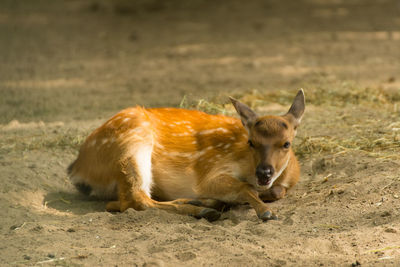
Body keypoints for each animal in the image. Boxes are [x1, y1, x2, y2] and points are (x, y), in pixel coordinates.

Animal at [67, 90, 304, 222]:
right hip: (131, 145)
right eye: (251, 142)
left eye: (286, 143)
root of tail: (77, 168)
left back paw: (203, 203)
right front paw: (266, 212)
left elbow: (276, 191)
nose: (264, 172)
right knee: (135, 199)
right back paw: (204, 210)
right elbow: (245, 187)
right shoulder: (211, 172)